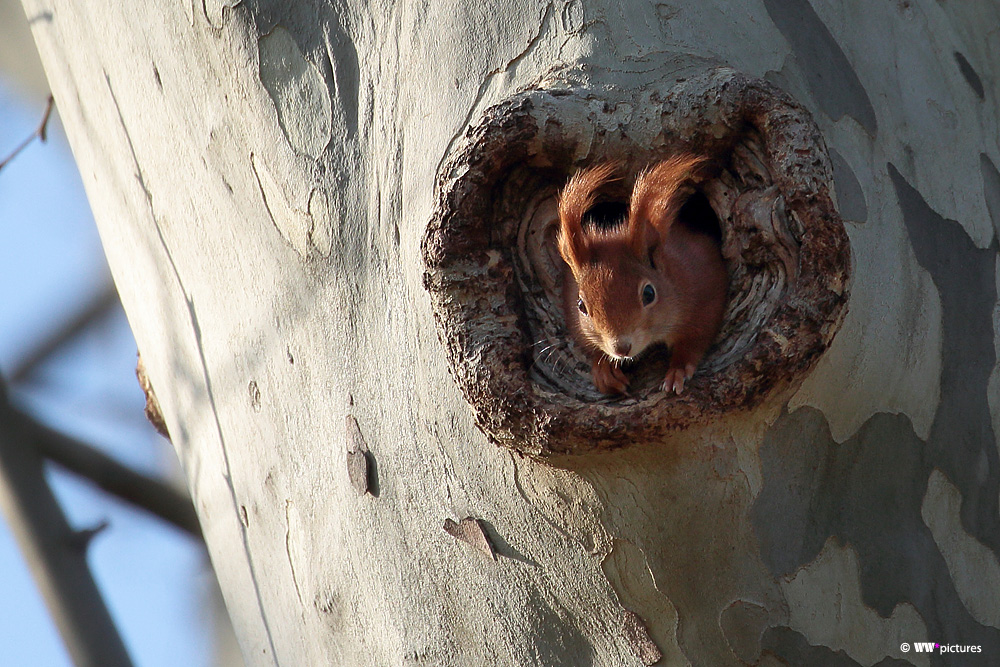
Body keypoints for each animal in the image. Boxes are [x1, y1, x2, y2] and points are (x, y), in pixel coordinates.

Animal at [556, 155, 728, 396]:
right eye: (581, 305)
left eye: (649, 293)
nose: (621, 348)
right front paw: (603, 369)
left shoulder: (706, 293)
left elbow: (695, 340)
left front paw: (678, 369)